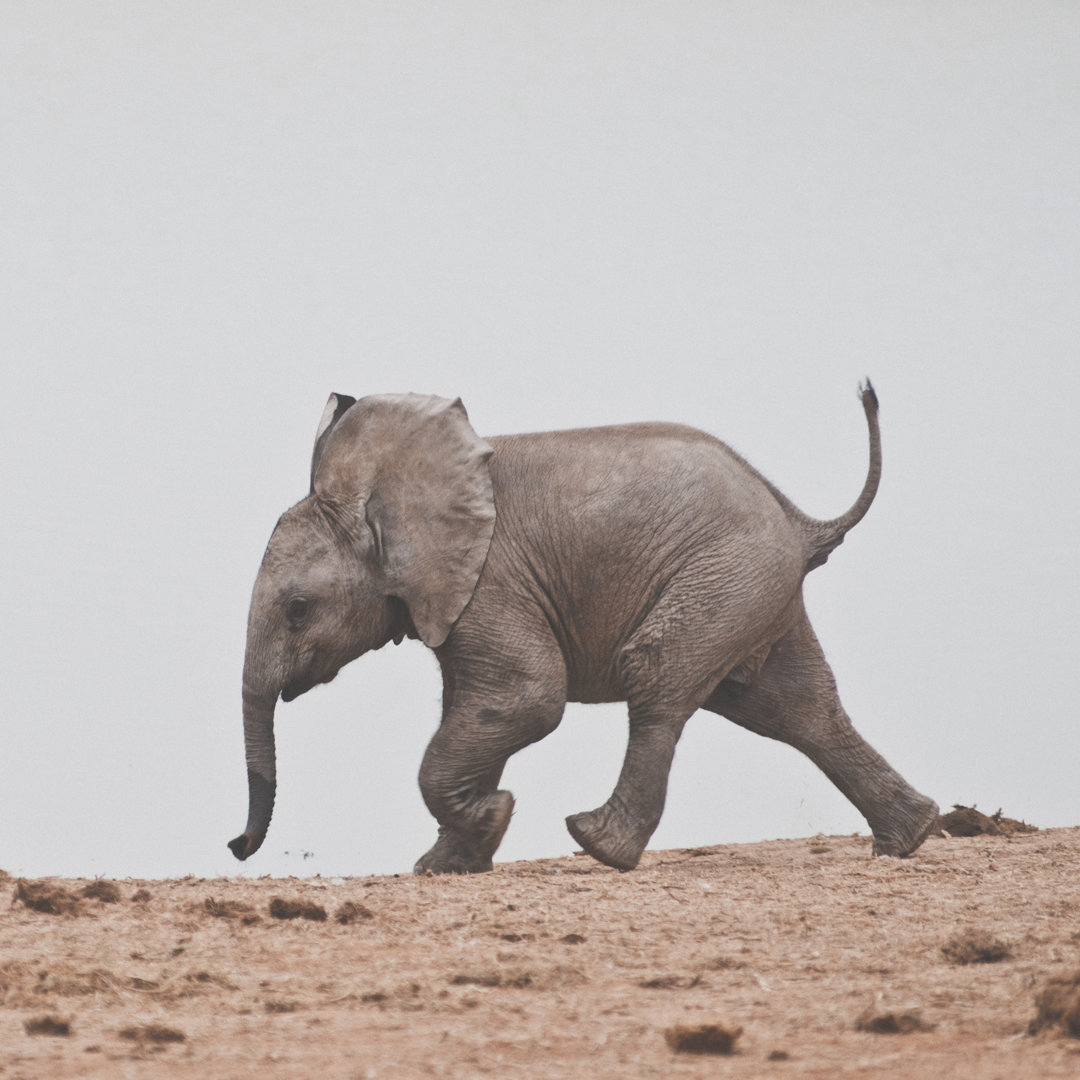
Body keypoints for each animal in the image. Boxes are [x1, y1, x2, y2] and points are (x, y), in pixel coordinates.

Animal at [227, 384, 937, 872]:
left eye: (297, 609)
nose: (236, 845)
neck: (384, 495)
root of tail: (800, 520)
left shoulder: (490, 581)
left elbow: (525, 698)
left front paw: (492, 816)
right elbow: (476, 707)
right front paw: (449, 862)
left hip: (728, 574)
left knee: (658, 674)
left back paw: (598, 845)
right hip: (755, 589)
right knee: (794, 707)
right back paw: (909, 838)